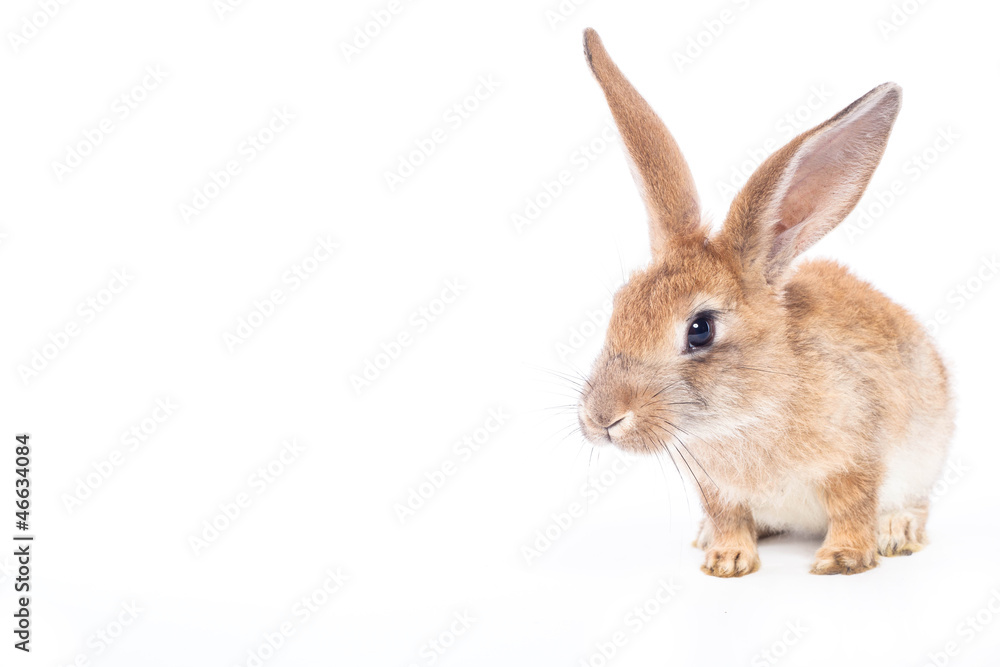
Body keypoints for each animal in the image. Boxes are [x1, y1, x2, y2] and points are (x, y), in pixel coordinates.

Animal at [575, 29, 954, 577]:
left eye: (700, 329)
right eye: (619, 305)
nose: (601, 419)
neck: (750, 408)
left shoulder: (856, 458)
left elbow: (853, 506)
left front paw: (842, 560)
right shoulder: (717, 488)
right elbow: (729, 517)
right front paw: (726, 561)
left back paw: (897, 532)